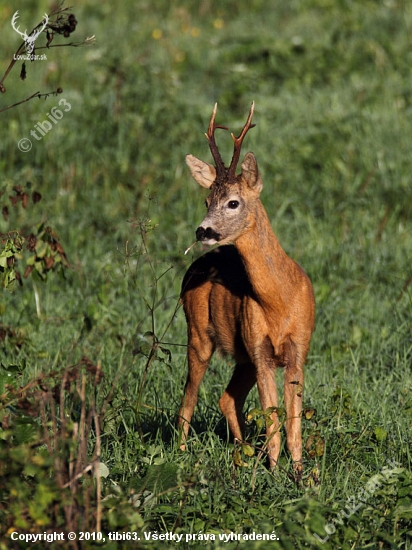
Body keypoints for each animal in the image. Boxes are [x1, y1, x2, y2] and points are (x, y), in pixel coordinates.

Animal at [178, 102, 316, 478]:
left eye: (233, 202)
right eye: (207, 199)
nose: (203, 231)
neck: (279, 301)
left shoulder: (298, 348)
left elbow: (293, 423)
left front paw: (300, 476)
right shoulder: (261, 350)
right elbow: (273, 422)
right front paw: (274, 473)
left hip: (242, 356)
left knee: (228, 398)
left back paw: (243, 453)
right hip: (199, 334)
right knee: (188, 399)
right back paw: (181, 455)